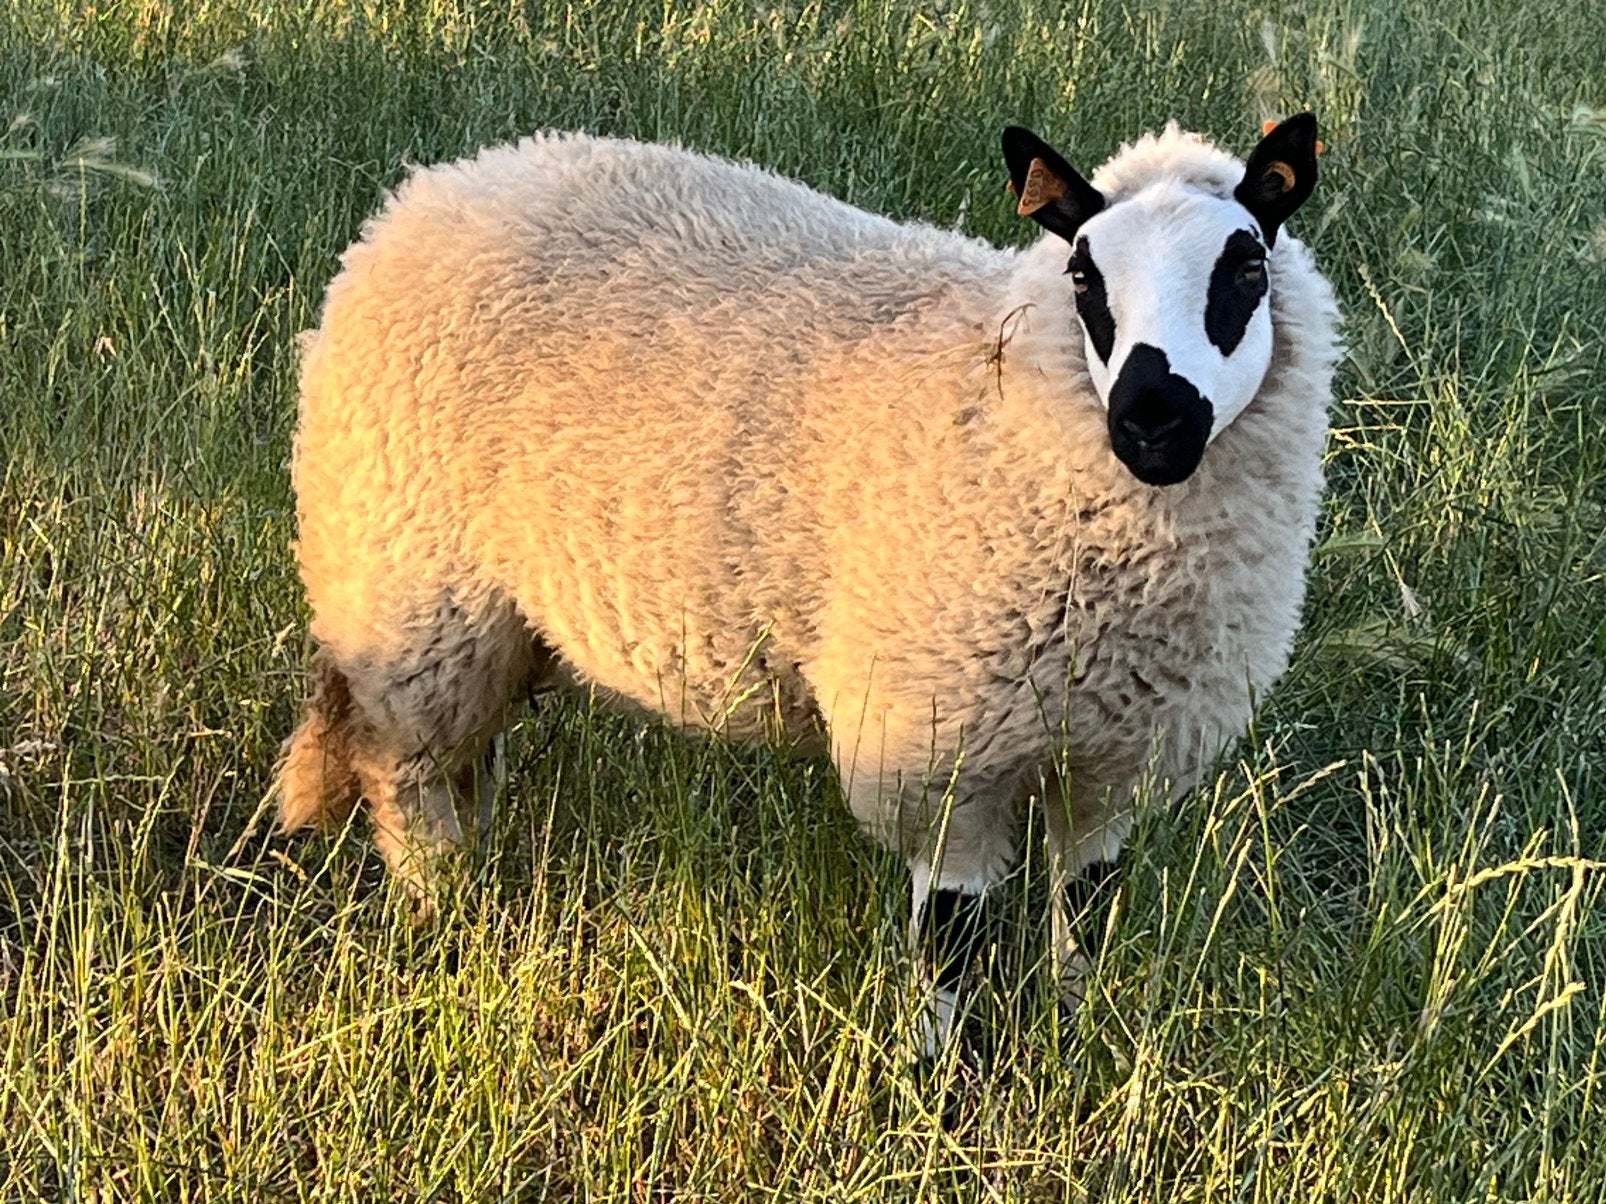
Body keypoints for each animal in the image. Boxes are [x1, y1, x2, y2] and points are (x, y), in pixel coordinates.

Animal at [277, 115, 1339, 1054]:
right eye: (1085, 275)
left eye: (1247, 269)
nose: (1153, 418)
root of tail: (432, 190)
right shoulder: (938, 747)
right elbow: (950, 941)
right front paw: (941, 1090)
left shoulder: (1116, 762)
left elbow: (1085, 919)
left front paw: (1081, 1049)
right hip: (408, 590)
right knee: (404, 779)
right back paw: (443, 920)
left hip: (489, 621)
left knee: (468, 762)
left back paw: (479, 888)